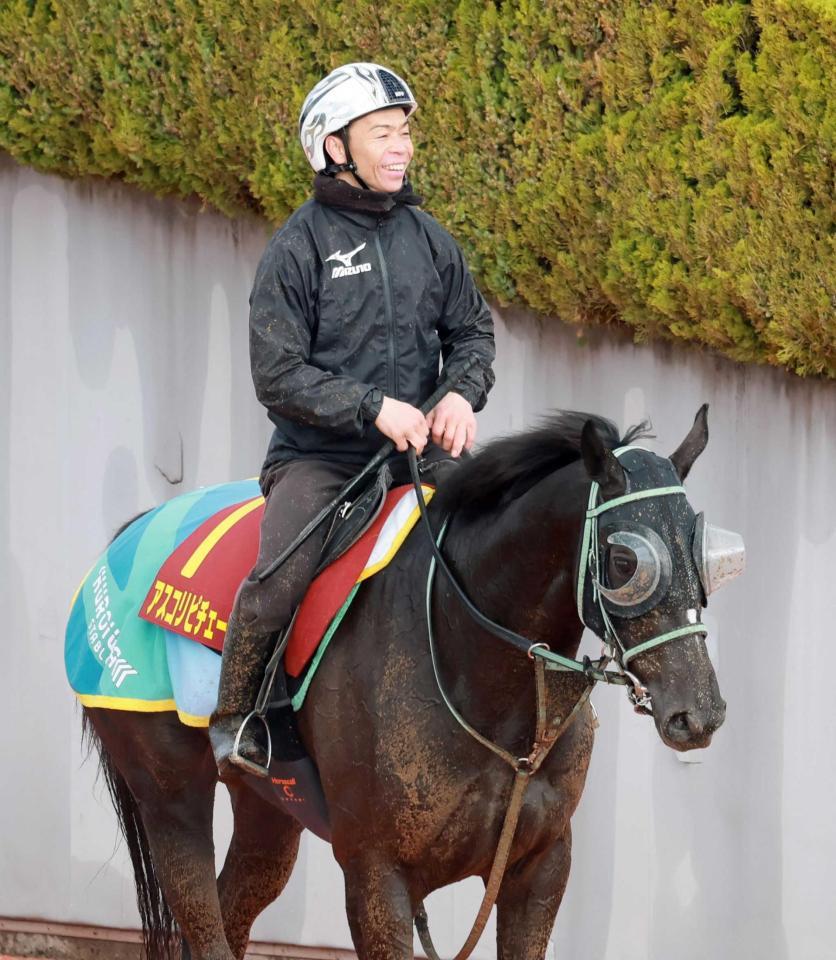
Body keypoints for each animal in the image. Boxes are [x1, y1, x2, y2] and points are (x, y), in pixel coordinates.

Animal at [81, 406, 728, 960]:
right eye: (626, 561)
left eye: (702, 553)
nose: (699, 712)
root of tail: (121, 544)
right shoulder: (377, 875)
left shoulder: (541, 865)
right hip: (171, 798)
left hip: (269, 811)